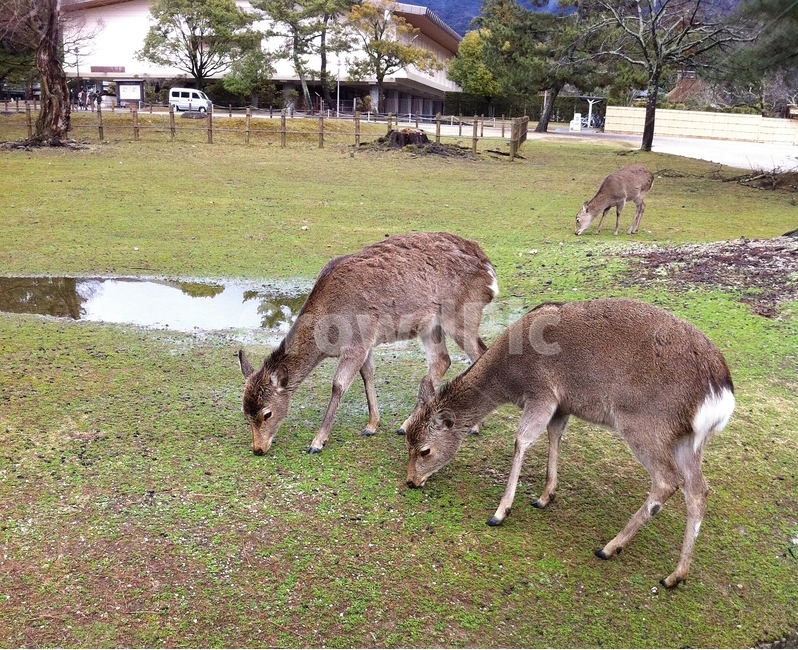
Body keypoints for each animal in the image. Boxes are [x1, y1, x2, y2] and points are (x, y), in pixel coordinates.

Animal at [237, 232, 498, 455]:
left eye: (267, 413)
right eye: (245, 412)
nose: (258, 449)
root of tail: (490, 271)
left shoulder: (356, 342)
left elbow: (338, 385)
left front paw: (317, 442)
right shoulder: (366, 342)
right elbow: (368, 374)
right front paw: (372, 426)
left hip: (462, 314)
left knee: (480, 353)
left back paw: (475, 426)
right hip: (430, 326)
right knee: (442, 360)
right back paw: (405, 425)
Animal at [405, 298, 735, 589]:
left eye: (425, 450)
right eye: (407, 435)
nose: (410, 481)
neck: (509, 378)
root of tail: (721, 392)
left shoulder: (542, 393)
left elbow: (522, 439)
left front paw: (500, 512)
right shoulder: (563, 405)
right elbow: (555, 435)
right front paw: (545, 496)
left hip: (645, 425)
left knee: (667, 480)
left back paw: (609, 547)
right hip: (690, 440)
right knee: (698, 489)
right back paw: (675, 575)